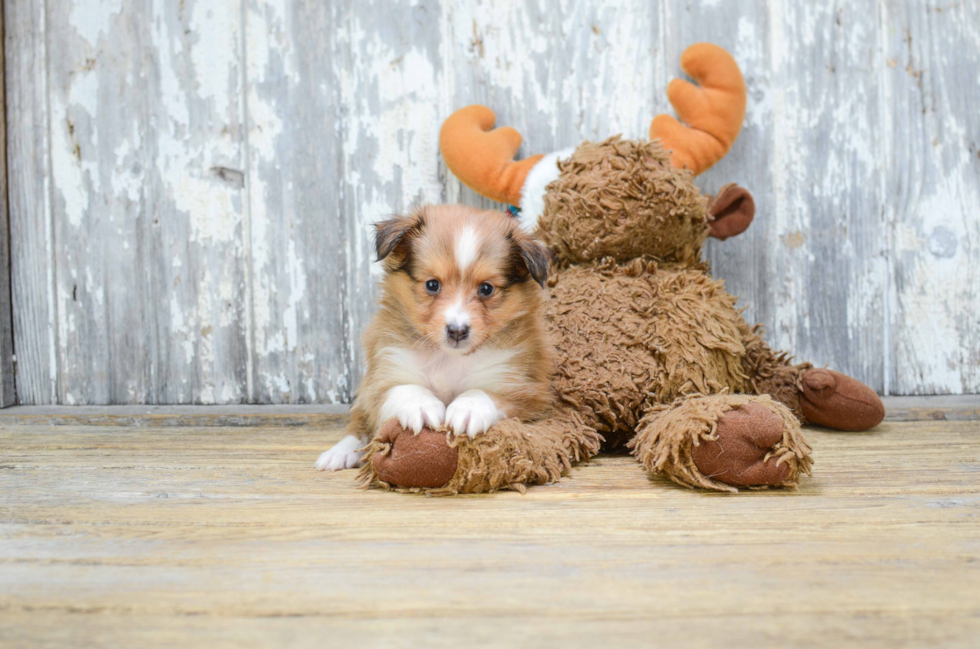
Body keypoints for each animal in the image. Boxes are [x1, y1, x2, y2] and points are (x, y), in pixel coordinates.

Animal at [320, 204, 556, 470]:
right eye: (432, 284)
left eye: (486, 289)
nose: (457, 331)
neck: (449, 358)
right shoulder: (384, 373)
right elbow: (405, 388)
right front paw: (421, 406)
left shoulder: (524, 390)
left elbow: (482, 392)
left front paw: (468, 409)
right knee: (358, 425)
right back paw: (340, 453)